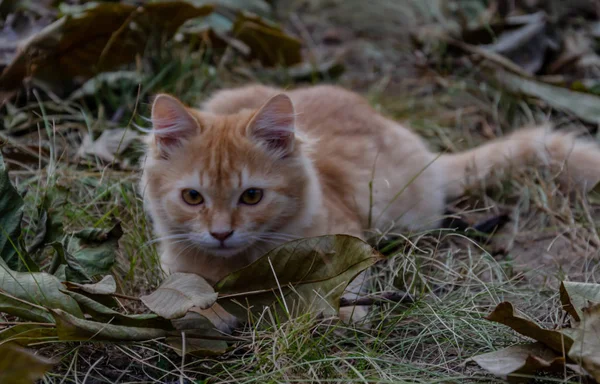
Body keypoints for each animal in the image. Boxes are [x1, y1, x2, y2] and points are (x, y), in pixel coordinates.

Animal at [142, 84, 600, 330]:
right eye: (193, 198)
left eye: (251, 196)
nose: (221, 233)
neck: (239, 267)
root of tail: (426, 156)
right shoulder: (172, 269)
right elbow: (191, 295)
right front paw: (217, 314)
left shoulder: (348, 242)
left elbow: (338, 291)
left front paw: (341, 318)